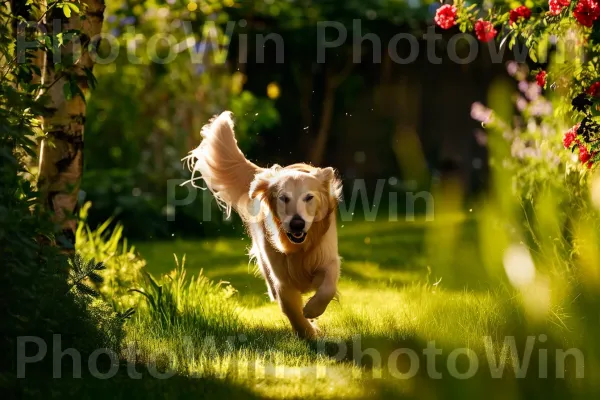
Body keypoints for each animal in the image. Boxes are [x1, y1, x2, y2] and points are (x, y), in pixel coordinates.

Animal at [185, 111, 340, 338]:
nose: (297, 224)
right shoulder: (281, 278)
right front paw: (308, 333)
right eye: (283, 198)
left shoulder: (327, 258)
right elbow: (291, 309)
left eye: (309, 197)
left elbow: (328, 287)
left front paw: (312, 310)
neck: (297, 248)